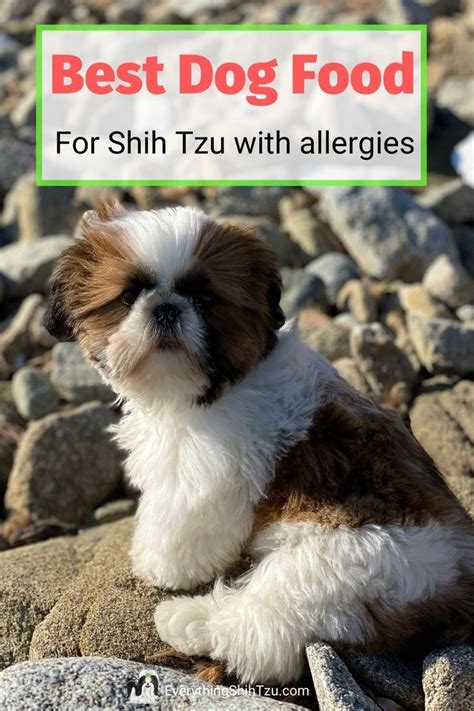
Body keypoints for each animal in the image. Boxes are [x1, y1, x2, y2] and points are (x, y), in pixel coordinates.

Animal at [45, 199, 474, 684]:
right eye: (129, 295)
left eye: (205, 299)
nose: (166, 308)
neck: (204, 391)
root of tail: (456, 578)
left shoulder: (205, 479)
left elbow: (180, 526)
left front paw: (157, 563)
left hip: (343, 565)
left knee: (265, 628)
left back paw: (188, 621)